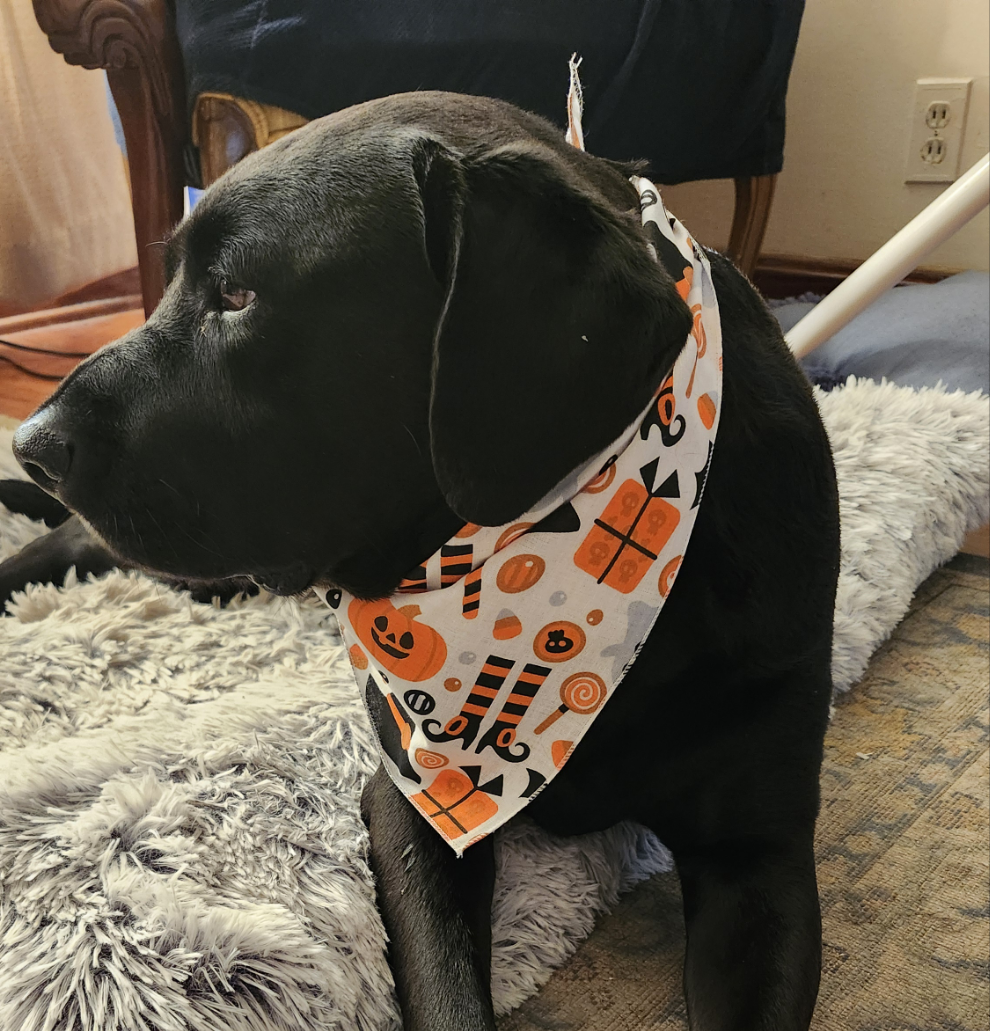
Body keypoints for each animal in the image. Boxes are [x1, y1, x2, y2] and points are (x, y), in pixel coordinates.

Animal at [11, 92, 837, 1026]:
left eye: (238, 291)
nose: (33, 443)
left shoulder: (760, 855)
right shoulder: (415, 804)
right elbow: (448, 993)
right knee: (70, 542)